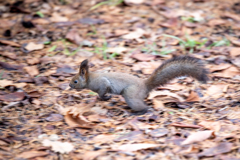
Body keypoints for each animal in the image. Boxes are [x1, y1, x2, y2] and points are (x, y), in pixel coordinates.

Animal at [69, 56, 208, 114]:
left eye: (75, 81)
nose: (69, 85)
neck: (90, 79)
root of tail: (145, 85)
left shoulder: (103, 83)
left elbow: (103, 91)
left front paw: (104, 98)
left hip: (131, 95)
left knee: (144, 107)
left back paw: (137, 112)